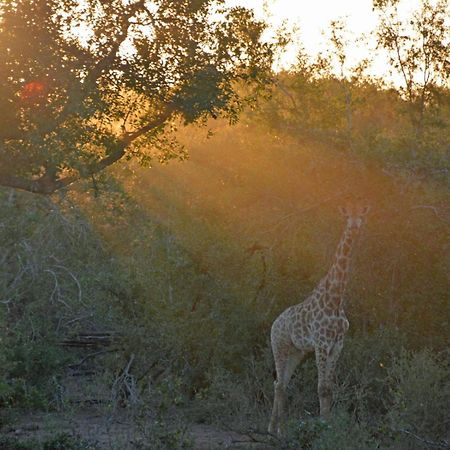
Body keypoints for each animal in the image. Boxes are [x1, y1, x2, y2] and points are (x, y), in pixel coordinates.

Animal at [268, 205, 370, 436]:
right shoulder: (322, 343)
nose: (355, 226)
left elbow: (329, 388)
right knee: (279, 383)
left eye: (361, 216)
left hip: (296, 352)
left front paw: (329, 425)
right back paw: (277, 429)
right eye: (348, 216)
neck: (335, 298)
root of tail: (274, 323)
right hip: (280, 345)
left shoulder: (337, 345)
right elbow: (322, 388)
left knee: (281, 382)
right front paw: (323, 427)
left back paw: (275, 428)